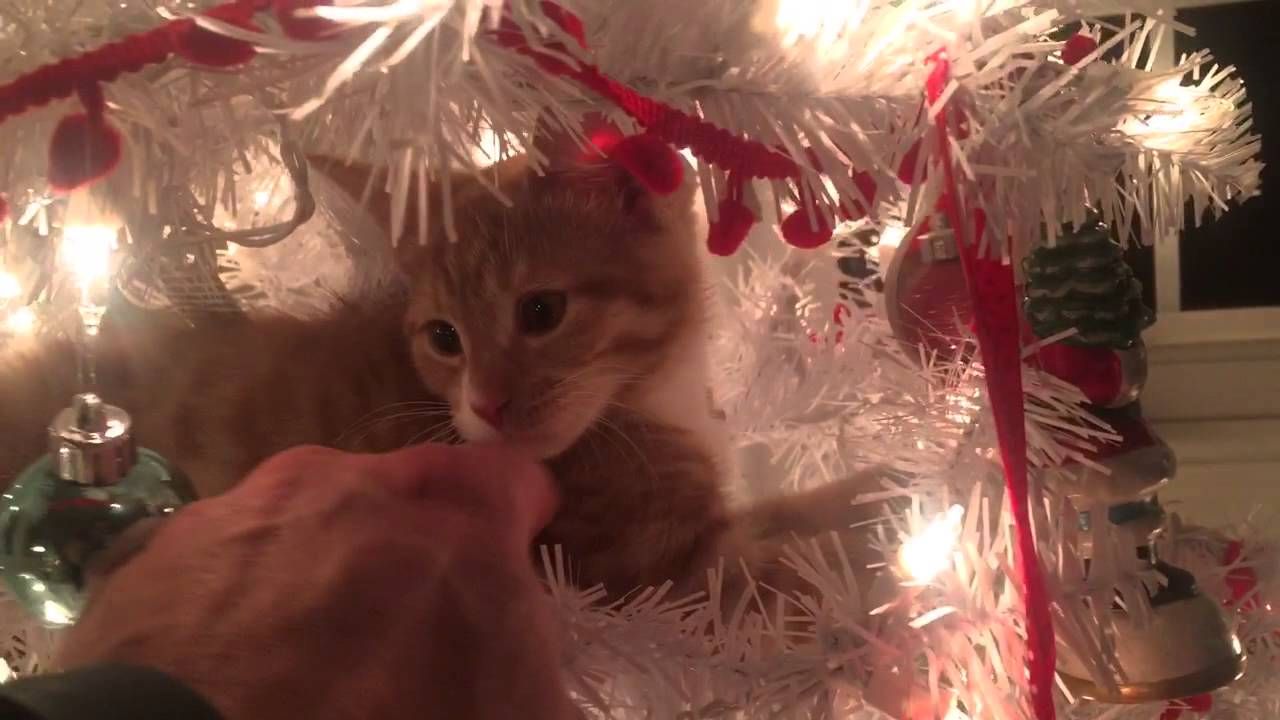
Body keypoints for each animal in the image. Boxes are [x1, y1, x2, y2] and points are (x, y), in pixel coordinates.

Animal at [0, 130, 885, 599]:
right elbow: (811, 579)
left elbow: (806, 516)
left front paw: (884, 491)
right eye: (444, 337)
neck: (651, 400)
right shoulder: (658, 578)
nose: (486, 406)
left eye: (542, 312)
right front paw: (886, 545)